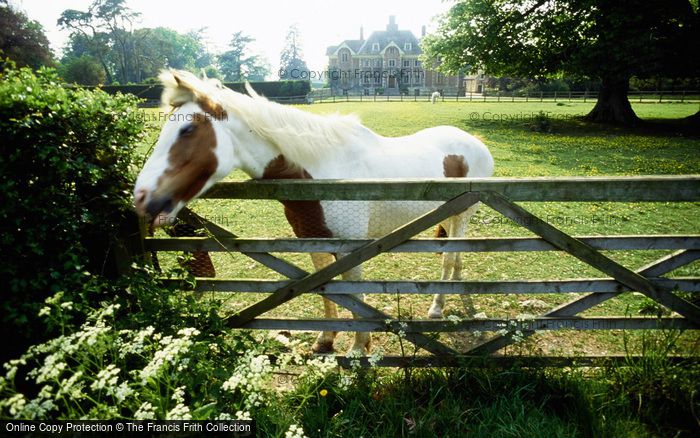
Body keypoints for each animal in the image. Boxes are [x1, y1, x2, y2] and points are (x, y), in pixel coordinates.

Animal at [131, 70, 492, 354]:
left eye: (187, 130)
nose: (142, 198)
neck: (322, 171)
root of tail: (474, 141)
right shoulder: (314, 242)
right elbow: (326, 290)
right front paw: (326, 339)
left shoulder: (350, 250)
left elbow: (353, 295)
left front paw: (358, 348)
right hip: (449, 215)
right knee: (455, 259)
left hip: (463, 214)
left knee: (449, 258)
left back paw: (437, 308)